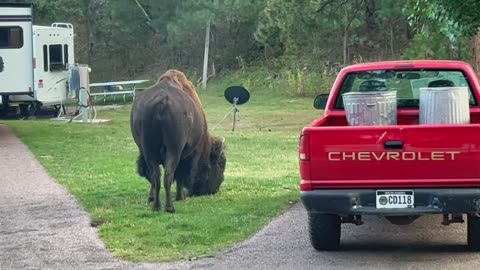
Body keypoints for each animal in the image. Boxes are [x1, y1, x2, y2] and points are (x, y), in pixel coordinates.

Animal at [129, 69, 227, 213]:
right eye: (221, 164)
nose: (214, 190)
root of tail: (161, 102)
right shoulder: (189, 154)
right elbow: (181, 175)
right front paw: (181, 197)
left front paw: (151, 197)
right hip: (174, 150)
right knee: (168, 175)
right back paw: (170, 207)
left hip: (149, 150)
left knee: (156, 176)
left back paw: (156, 206)